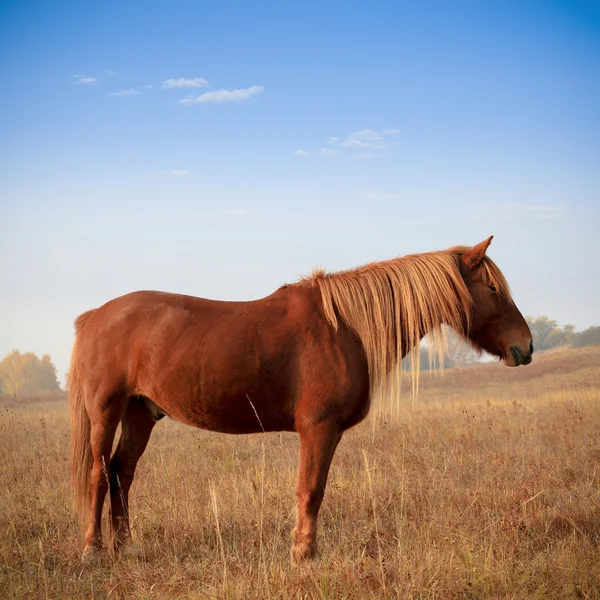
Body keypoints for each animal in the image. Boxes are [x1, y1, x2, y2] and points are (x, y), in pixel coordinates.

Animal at [68, 238, 532, 564]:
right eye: (492, 287)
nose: (525, 346)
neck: (345, 328)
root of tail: (96, 316)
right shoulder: (318, 429)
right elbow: (310, 490)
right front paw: (304, 555)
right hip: (106, 411)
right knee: (97, 474)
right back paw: (93, 550)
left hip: (141, 413)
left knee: (122, 473)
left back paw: (126, 547)